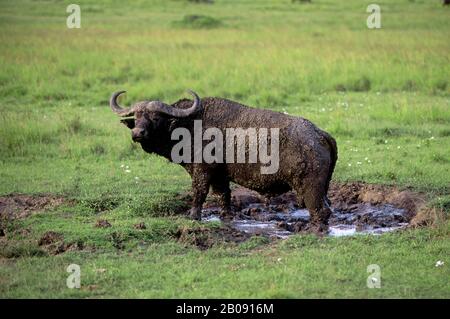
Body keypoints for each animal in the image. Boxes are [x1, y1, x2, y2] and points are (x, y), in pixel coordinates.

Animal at [110, 90, 338, 232]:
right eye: (136, 117)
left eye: (156, 117)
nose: (137, 133)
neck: (189, 124)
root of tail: (319, 134)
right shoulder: (220, 176)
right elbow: (223, 196)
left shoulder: (202, 172)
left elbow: (199, 193)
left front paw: (193, 216)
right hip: (323, 187)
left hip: (310, 187)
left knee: (320, 211)